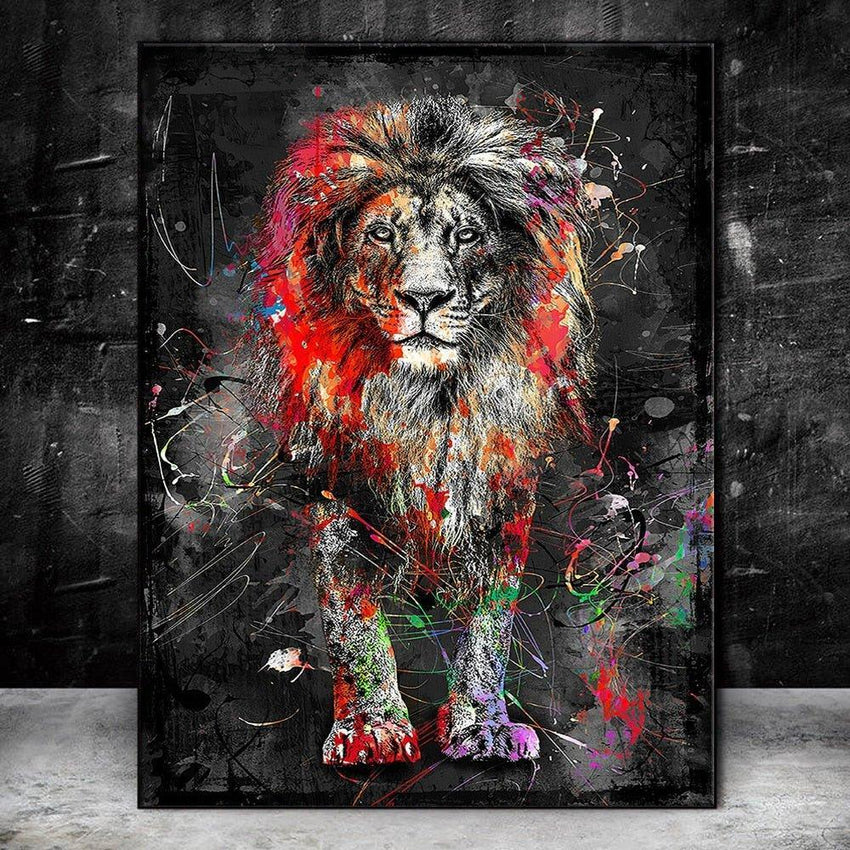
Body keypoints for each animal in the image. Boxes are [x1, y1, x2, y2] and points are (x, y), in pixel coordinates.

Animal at [245, 96, 596, 765]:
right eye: (382, 234)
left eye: (467, 235)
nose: (426, 297)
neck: (428, 405)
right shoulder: (339, 493)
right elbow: (353, 625)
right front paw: (372, 730)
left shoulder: (501, 497)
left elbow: (490, 627)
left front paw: (481, 726)